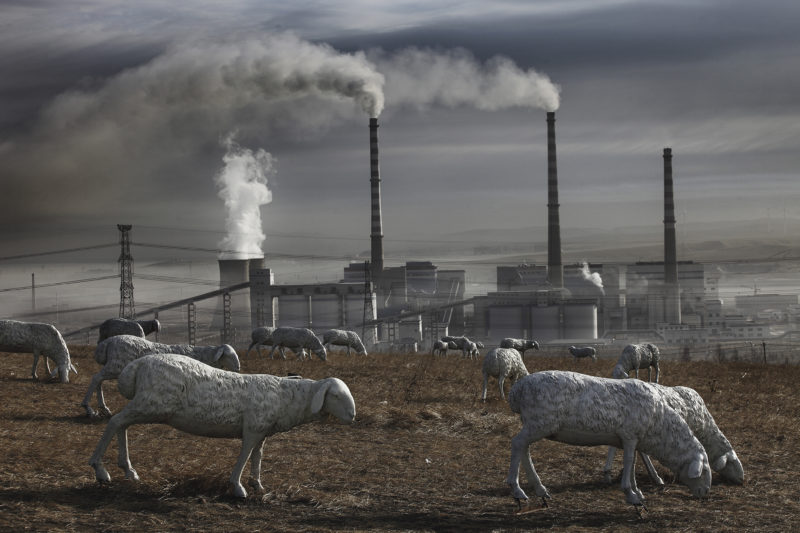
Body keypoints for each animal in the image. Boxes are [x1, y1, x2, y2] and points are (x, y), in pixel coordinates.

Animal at [80, 334, 241, 418]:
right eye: (229, 355)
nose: (238, 368)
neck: (203, 356)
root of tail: (109, 342)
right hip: (116, 366)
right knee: (96, 378)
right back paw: (88, 408)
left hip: (114, 366)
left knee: (99, 380)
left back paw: (104, 408)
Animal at [85, 352, 356, 496]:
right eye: (335, 395)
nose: (353, 416)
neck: (287, 397)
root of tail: (137, 365)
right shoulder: (252, 428)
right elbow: (245, 455)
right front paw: (238, 487)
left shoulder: (262, 432)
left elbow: (257, 456)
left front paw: (258, 484)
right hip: (151, 403)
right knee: (115, 421)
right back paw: (100, 469)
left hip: (146, 404)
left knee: (122, 424)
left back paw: (128, 470)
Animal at [510, 370, 708, 512]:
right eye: (705, 470)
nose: (705, 494)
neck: (658, 421)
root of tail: (517, 389)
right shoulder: (630, 435)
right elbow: (629, 461)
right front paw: (631, 495)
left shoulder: (630, 439)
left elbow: (632, 463)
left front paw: (637, 492)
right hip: (540, 423)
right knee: (518, 444)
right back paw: (517, 490)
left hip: (534, 424)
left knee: (524, 448)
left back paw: (540, 490)